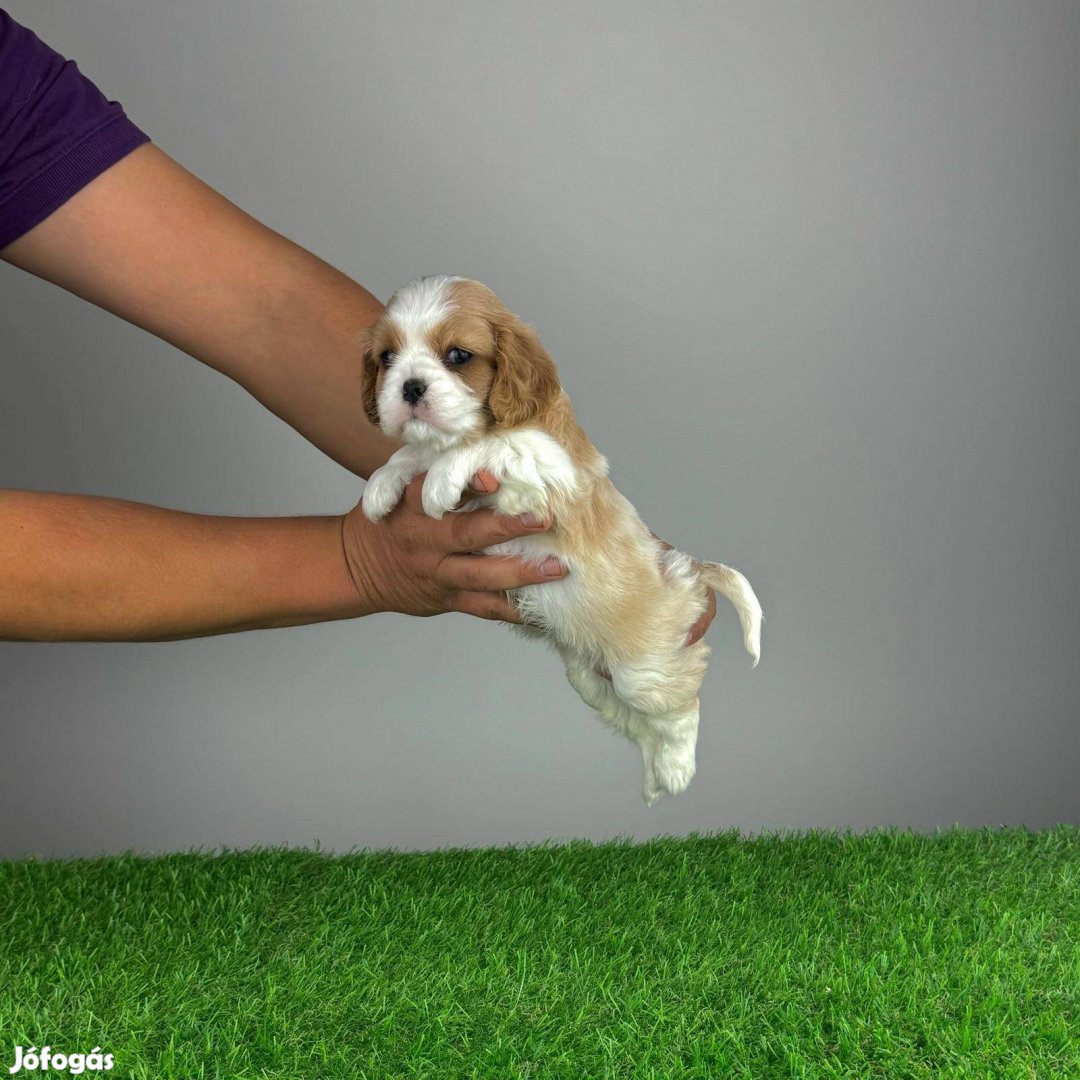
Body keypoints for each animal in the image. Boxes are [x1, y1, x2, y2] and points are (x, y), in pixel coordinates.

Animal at [362, 276, 760, 803]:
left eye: (458, 356)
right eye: (387, 358)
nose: (409, 386)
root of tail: (686, 572)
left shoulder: (548, 474)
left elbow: (490, 443)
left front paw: (440, 479)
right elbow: (413, 452)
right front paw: (382, 485)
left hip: (644, 670)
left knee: (680, 711)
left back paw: (677, 770)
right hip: (589, 677)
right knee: (640, 727)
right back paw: (652, 780)